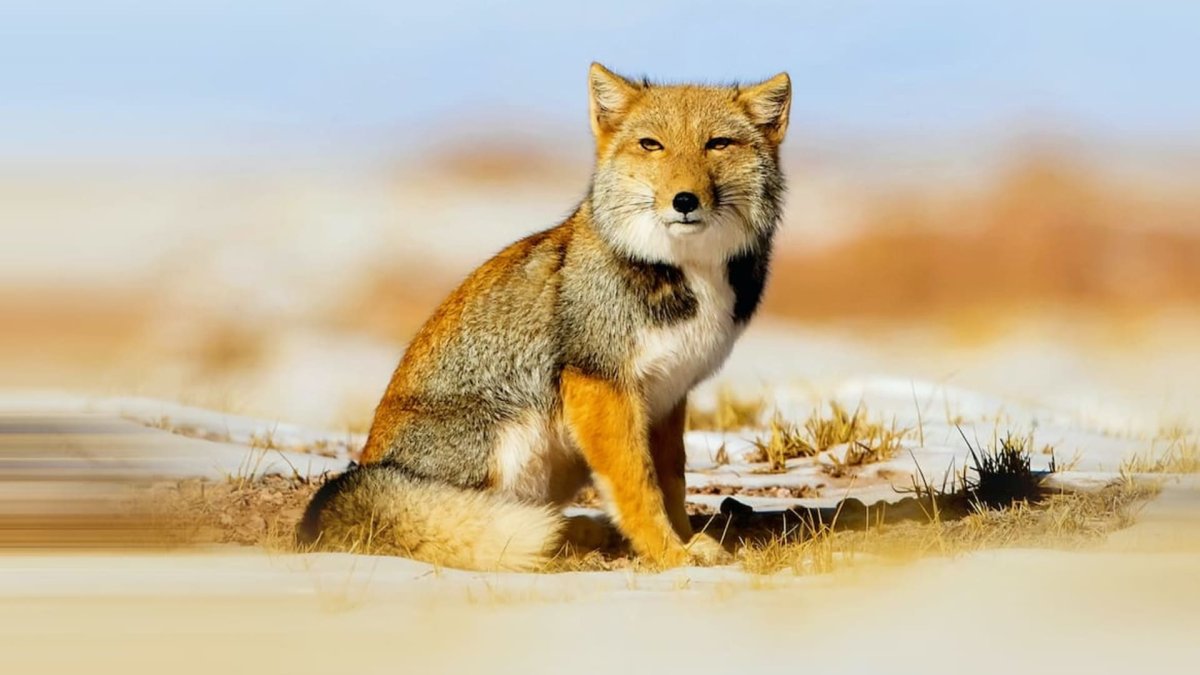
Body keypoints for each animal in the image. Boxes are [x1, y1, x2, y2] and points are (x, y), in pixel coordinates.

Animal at [298, 63, 790, 571]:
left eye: (718, 144)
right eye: (651, 144)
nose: (685, 201)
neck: (687, 273)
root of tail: (370, 470)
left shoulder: (668, 393)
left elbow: (670, 482)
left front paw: (686, 541)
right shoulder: (600, 381)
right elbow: (636, 484)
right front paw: (668, 554)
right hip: (512, 437)